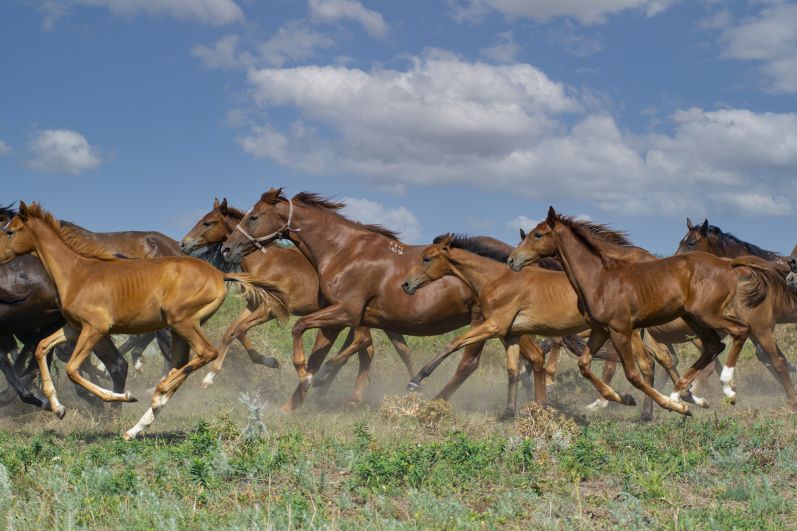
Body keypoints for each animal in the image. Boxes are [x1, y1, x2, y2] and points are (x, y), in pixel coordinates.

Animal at [0, 202, 286, 438]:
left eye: (10, 231)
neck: (77, 273)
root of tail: (220, 275)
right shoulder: (73, 328)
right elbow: (41, 349)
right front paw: (57, 407)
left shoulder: (95, 329)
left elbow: (74, 369)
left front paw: (122, 397)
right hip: (178, 330)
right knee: (180, 365)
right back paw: (137, 426)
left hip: (181, 322)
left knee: (204, 354)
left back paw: (157, 392)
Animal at [181, 198, 416, 404]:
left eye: (208, 222)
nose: (183, 244)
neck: (265, 261)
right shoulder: (253, 305)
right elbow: (231, 331)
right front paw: (210, 377)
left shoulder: (271, 308)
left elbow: (240, 330)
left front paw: (270, 362)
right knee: (390, 350)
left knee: (366, 344)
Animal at [219, 189, 548, 414]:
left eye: (254, 216)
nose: (226, 249)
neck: (344, 251)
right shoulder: (337, 320)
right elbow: (319, 354)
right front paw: (293, 403)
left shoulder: (345, 313)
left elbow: (304, 333)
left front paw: (312, 380)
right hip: (505, 327)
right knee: (529, 358)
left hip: (485, 322)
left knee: (470, 364)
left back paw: (434, 400)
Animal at [404, 235, 692, 418]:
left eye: (427, 258)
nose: (406, 284)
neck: (496, 279)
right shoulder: (510, 333)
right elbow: (514, 370)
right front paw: (510, 411)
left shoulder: (494, 326)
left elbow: (454, 344)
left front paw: (417, 380)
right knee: (652, 363)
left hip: (626, 333)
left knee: (647, 364)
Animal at [506, 208, 788, 416]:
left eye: (538, 234)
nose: (512, 260)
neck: (599, 278)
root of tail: (728, 263)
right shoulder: (601, 330)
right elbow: (585, 365)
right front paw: (621, 398)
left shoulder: (622, 330)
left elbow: (636, 372)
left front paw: (670, 407)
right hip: (694, 319)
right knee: (713, 346)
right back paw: (683, 391)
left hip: (708, 315)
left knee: (741, 332)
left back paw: (725, 388)